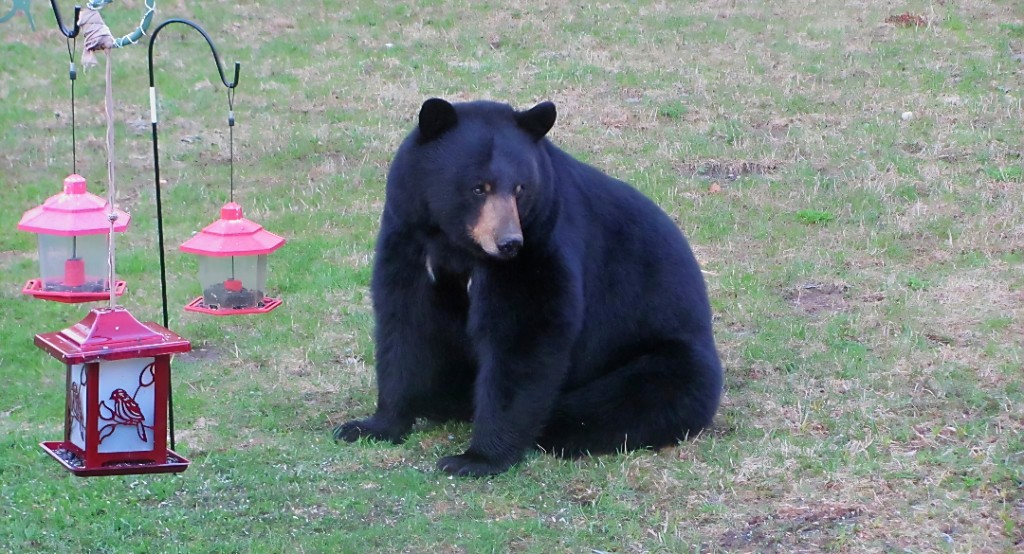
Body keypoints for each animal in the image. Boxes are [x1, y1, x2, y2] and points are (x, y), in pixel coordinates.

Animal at [335, 98, 723, 477]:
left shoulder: (541, 242)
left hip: (669, 362)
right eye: (479, 187)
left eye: (520, 188)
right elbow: (405, 322)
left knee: (626, 399)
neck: (455, 244)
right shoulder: (409, 235)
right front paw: (370, 426)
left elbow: (524, 336)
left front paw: (475, 459)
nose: (509, 242)